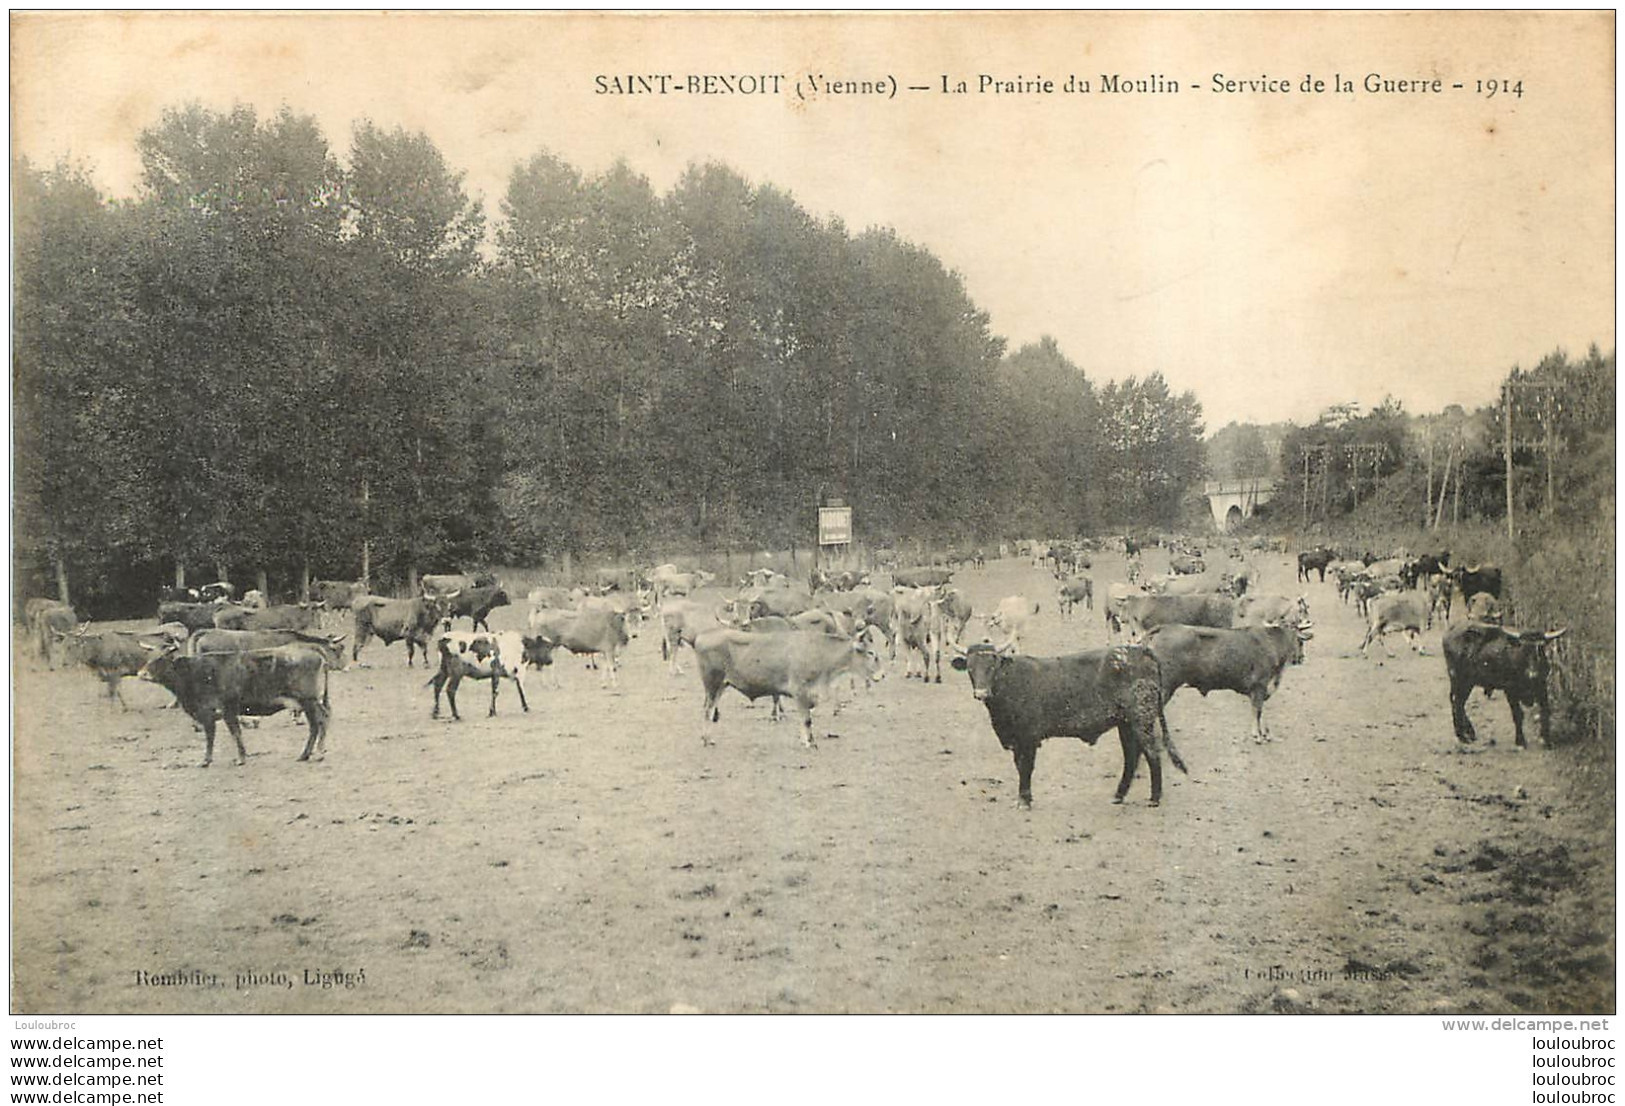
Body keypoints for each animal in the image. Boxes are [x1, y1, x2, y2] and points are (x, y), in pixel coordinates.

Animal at [139, 633, 329, 763]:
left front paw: (222, 759)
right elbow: (226, 733)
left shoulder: (218, 711)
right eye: (148, 657)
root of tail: (310, 648)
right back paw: (309, 754)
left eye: (160, 658)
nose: (142, 673)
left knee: (319, 722)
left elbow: (225, 734)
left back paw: (314, 753)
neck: (195, 672)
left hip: (309, 700)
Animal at [949, 639, 1183, 802]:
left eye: (992, 666)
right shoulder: (1016, 740)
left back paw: (1154, 798)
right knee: (1132, 757)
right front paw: (1025, 797)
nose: (981, 693)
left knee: (1152, 753)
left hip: (1141, 720)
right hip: (1125, 723)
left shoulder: (1029, 737)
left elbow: (1026, 767)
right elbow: (1019, 766)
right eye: (970, 668)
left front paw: (1024, 801)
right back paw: (1118, 795)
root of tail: (1140, 650)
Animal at [1150, 620, 1313, 740]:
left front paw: (1266, 733)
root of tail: (1164, 627)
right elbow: (1257, 711)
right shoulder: (1259, 686)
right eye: (1300, 641)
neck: (1274, 643)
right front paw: (1257, 735)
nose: (1301, 658)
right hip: (1165, 687)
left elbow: (1261, 711)